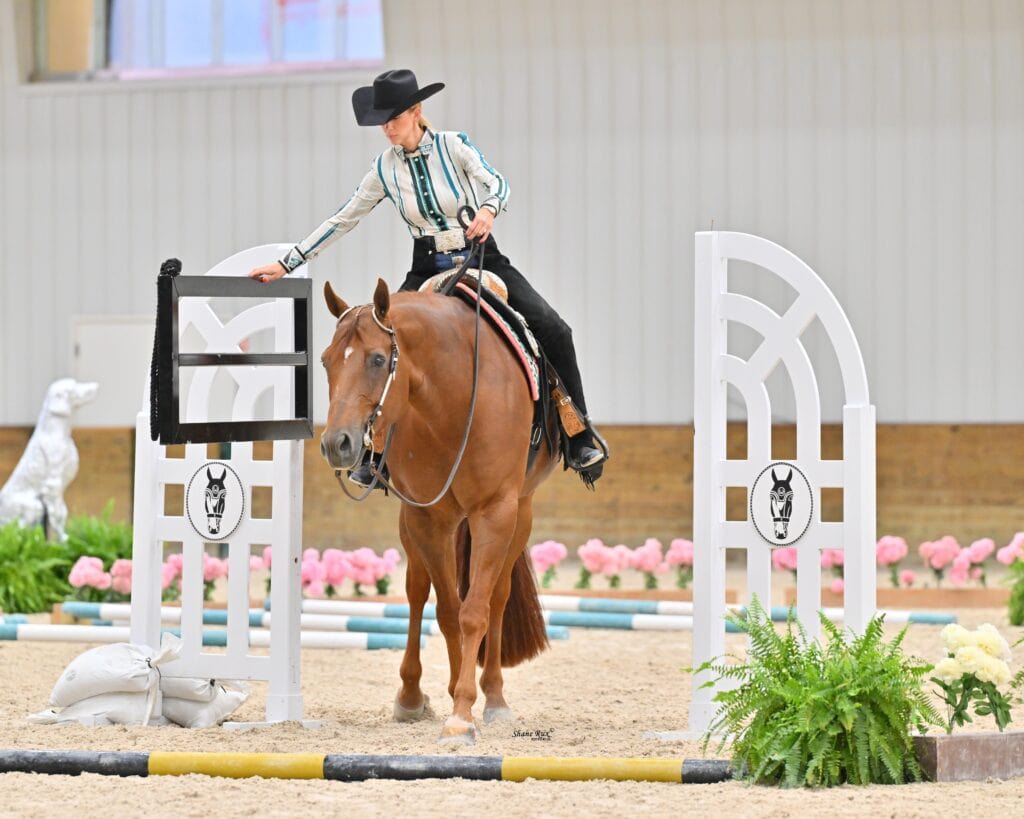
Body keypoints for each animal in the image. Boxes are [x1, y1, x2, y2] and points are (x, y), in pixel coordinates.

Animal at [319, 278, 559, 745]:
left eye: (378, 359)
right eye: (325, 361)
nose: (337, 443)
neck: (454, 399)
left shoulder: (495, 511)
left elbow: (474, 612)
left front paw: (463, 714)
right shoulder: (427, 518)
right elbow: (448, 611)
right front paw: (453, 698)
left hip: (519, 515)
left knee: (497, 597)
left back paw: (495, 698)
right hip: (415, 524)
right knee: (417, 592)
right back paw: (412, 696)